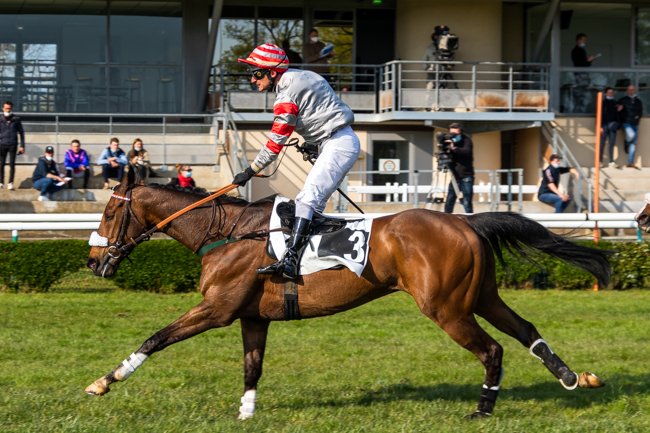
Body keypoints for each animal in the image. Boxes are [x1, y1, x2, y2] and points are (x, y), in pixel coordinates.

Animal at [85, 171, 608, 418]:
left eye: (109, 214)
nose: (92, 261)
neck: (227, 233)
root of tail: (465, 221)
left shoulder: (216, 309)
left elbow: (156, 337)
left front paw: (104, 381)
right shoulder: (252, 317)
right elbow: (252, 367)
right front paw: (246, 412)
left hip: (446, 308)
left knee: (492, 349)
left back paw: (482, 408)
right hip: (481, 297)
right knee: (524, 329)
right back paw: (572, 377)